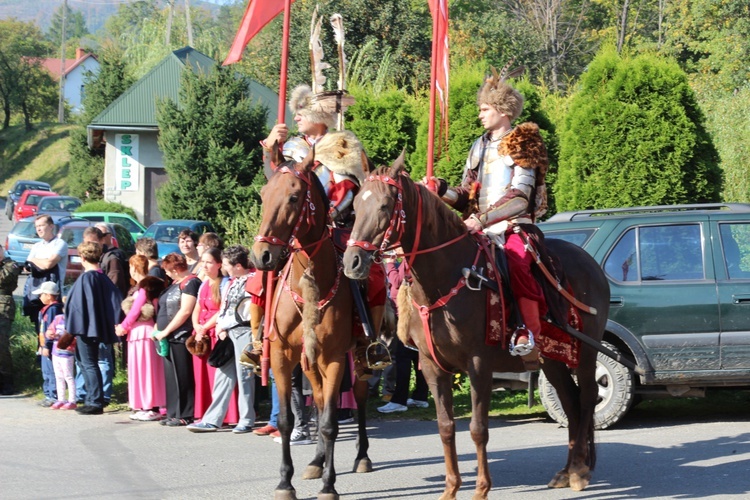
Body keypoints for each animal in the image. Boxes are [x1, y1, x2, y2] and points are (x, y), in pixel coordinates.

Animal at [253, 149, 382, 500]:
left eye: (294, 197)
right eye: (264, 195)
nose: (262, 256)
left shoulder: (335, 357)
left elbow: (329, 424)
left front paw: (329, 485)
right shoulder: (283, 356)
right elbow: (288, 419)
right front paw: (286, 482)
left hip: (357, 359)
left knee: (359, 399)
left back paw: (362, 457)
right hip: (310, 362)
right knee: (322, 399)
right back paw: (316, 461)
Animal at [344, 158, 612, 498]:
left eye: (384, 205)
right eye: (355, 206)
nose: (352, 261)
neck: (445, 278)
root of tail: (591, 264)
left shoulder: (478, 364)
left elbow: (478, 428)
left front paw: (481, 489)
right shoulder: (432, 366)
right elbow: (446, 427)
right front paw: (450, 488)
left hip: (587, 350)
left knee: (588, 397)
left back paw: (578, 471)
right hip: (552, 358)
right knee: (570, 401)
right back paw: (566, 470)